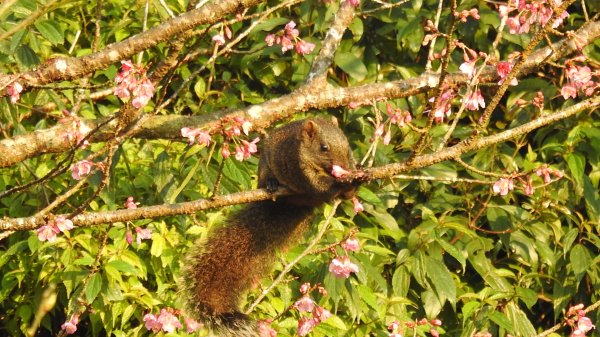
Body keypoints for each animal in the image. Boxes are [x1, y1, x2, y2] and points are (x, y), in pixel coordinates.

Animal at [180, 117, 354, 334]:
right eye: (324, 148)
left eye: (348, 146)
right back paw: (272, 184)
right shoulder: (296, 165)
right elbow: (316, 184)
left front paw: (354, 182)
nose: (344, 166)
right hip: (266, 171)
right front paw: (341, 184)